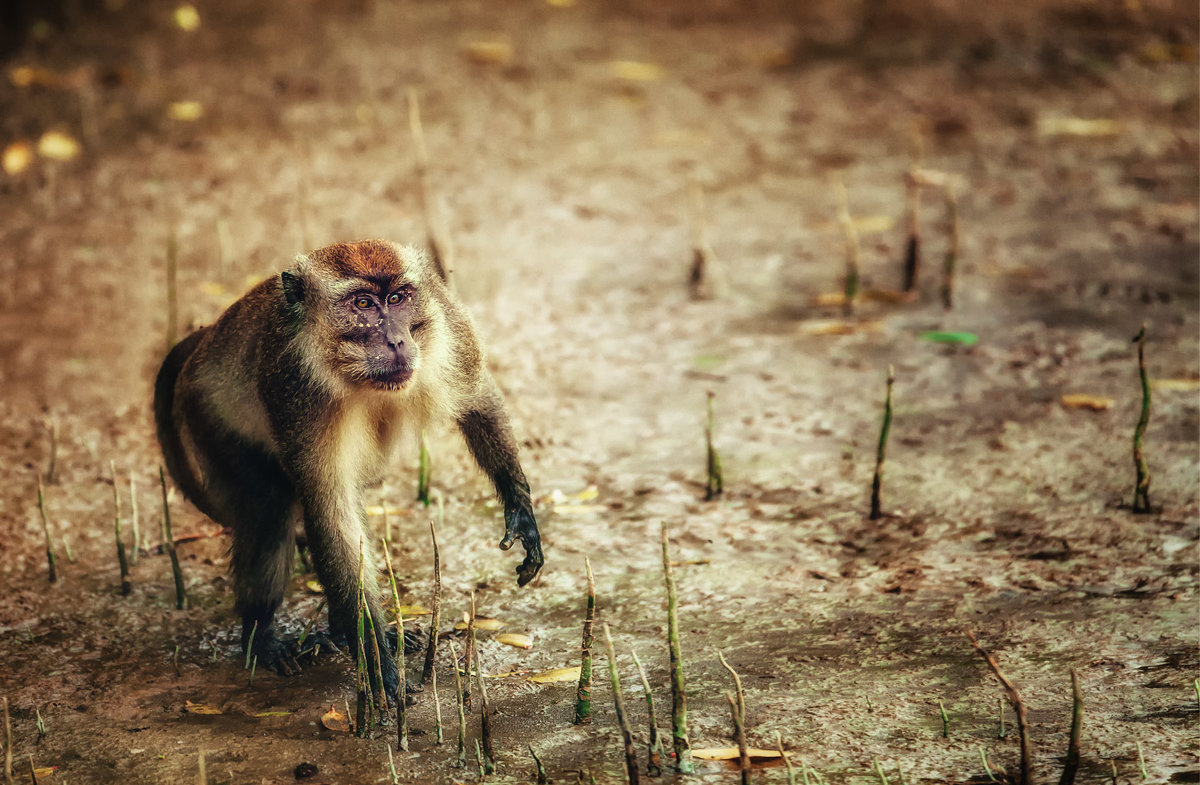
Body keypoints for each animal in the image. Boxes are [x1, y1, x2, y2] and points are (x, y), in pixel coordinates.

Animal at [154, 240, 544, 700]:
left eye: (397, 298)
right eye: (362, 304)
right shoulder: (296, 388)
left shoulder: (449, 327)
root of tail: (205, 338)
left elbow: (478, 398)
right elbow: (330, 507)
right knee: (270, 505)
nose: (396, 339)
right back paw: (262, 635)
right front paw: (376, 660)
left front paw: (521, 510)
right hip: (209, 418)